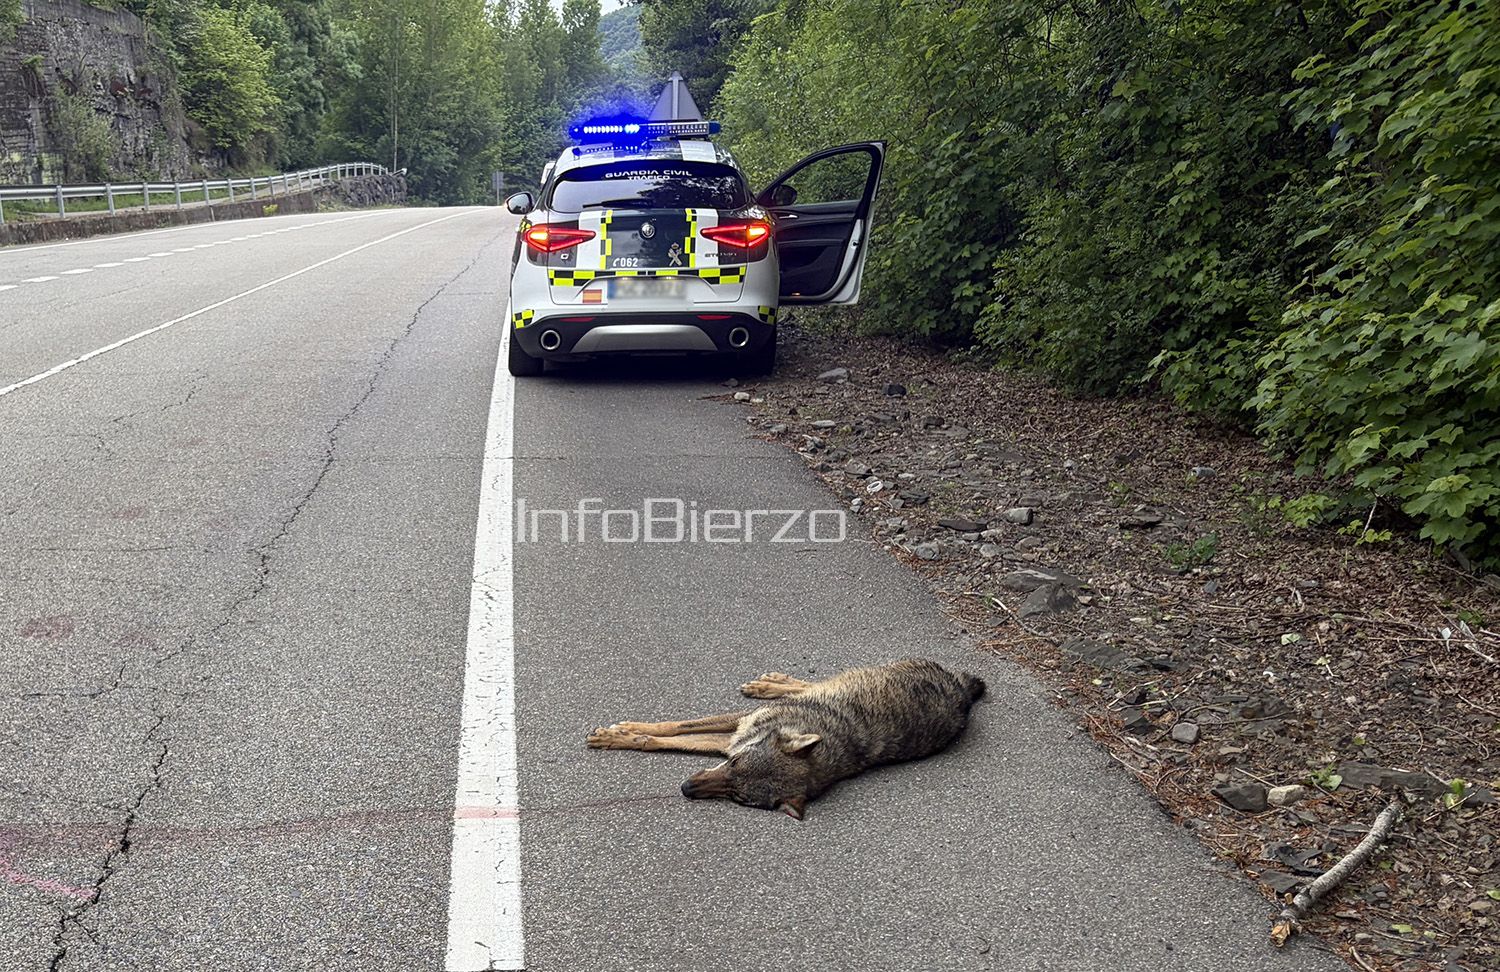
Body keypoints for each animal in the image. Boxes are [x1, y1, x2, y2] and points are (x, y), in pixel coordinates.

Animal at [585, 658, 986, 819]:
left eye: (738, 798)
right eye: (733, 764)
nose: (685, 788)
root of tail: (965, 691)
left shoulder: (730, 739)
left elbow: (666, 737)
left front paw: (623, 736)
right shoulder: (736, 730)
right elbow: (672, 728)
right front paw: (618, 734)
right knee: (808, 683)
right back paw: (771, 683)